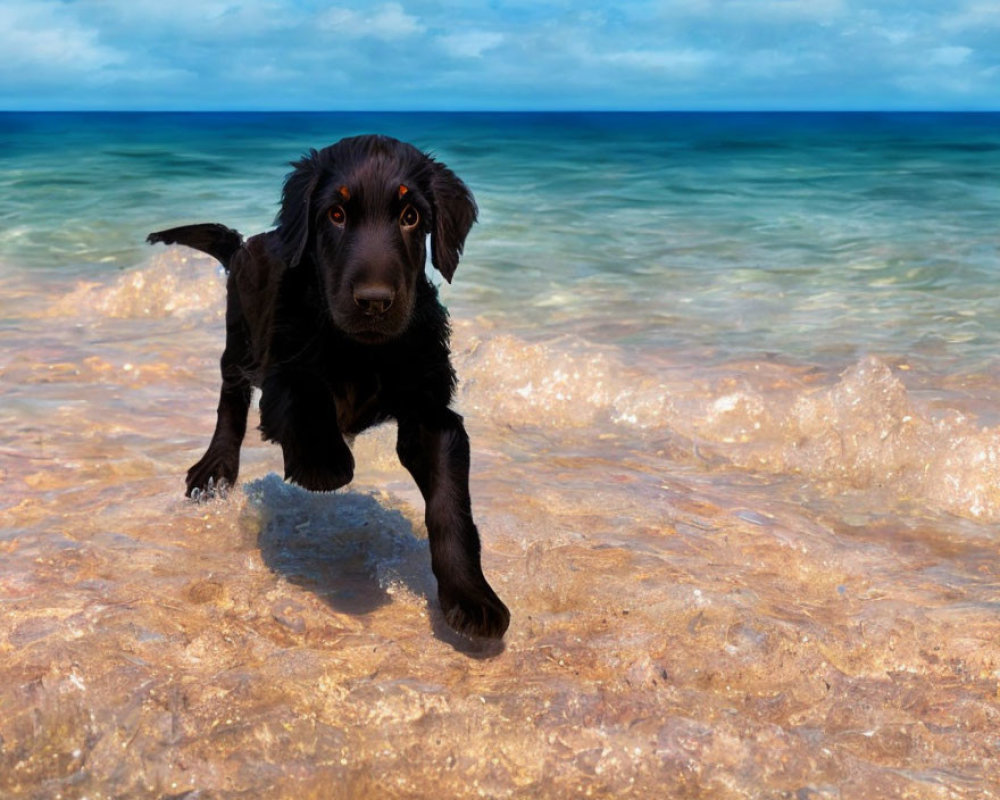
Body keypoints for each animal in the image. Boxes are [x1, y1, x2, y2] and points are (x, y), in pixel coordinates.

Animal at [148, 136, 508, 636]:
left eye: (410, 216)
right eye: (335, 215)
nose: (374, 302)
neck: (364, 350)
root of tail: (245, 244)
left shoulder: (430, 409)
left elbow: (450, 506)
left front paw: (472, 598)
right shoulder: (282, 360)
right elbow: (306, 390)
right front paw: (324, 463)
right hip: (241, 338)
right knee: (231, 399)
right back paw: (215, 467)